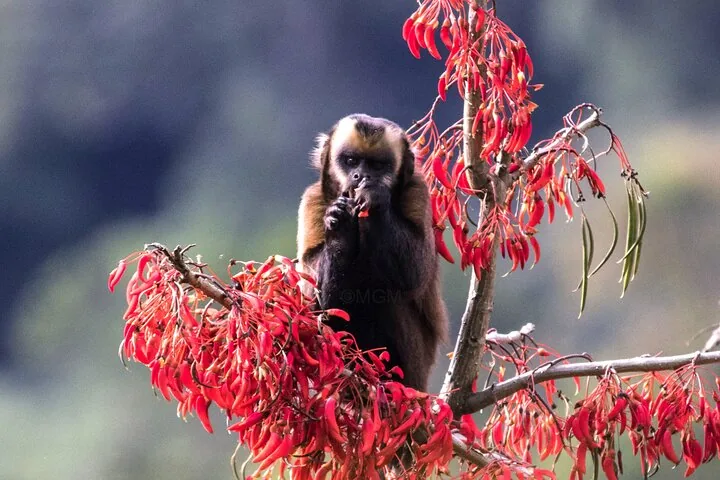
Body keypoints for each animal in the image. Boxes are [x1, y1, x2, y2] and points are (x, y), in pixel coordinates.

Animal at [297, 114, 448, 392]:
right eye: (351, 161)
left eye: (377, 166)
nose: (360, 176)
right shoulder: (313, 198)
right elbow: (311, 294)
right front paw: (341, 231)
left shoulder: (418, 190)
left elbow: (415, 271)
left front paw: (374, 196)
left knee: (387, 294)